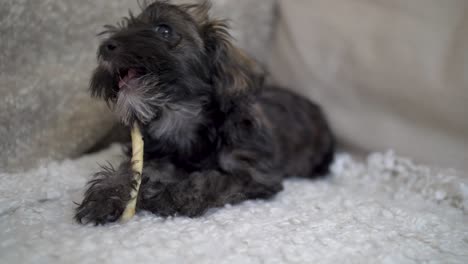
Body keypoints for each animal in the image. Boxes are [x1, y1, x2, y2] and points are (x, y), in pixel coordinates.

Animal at [76, 1, 332, 226]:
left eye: (164, 29)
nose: (106, 46)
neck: (181, 119)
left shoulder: (253, 173)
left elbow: (213, 180)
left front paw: (172, 195)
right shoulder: (153, 155)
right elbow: (129, 170)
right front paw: (106, 195)